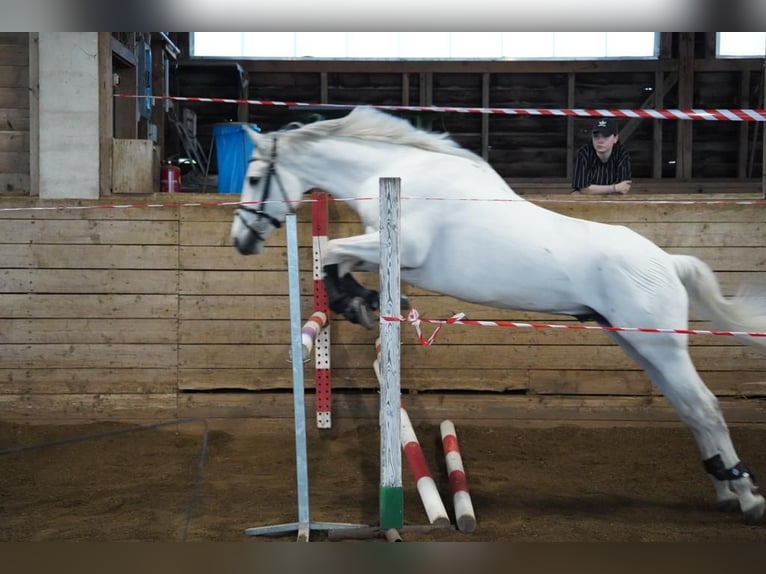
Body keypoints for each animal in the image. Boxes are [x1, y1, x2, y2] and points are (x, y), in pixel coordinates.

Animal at [234, 106, 766, 524]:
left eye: (256, 178)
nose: (241, 241)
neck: (396, 167)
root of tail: (669, 262)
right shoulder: (386, 253)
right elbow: (337, 261)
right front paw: (359, 302)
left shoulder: (402, 249)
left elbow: (333, 253)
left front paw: (356, 302)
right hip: (638, 343)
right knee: (690, 411)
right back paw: (723, 488)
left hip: (662, 346)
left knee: (705, 407)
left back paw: (747, 497)